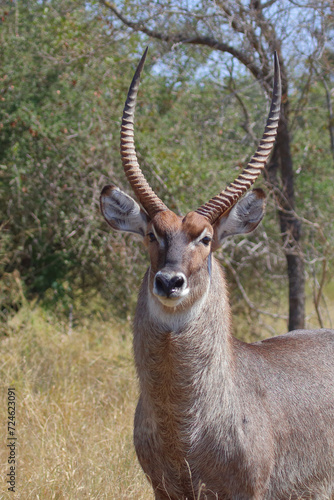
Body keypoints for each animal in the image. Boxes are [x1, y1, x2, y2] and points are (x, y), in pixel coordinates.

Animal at [100, 49, 334, 500]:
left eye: (205, 238)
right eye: (152, 234)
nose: (169, 282)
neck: (184, 429)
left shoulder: (247, 491)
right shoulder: (163, 490)